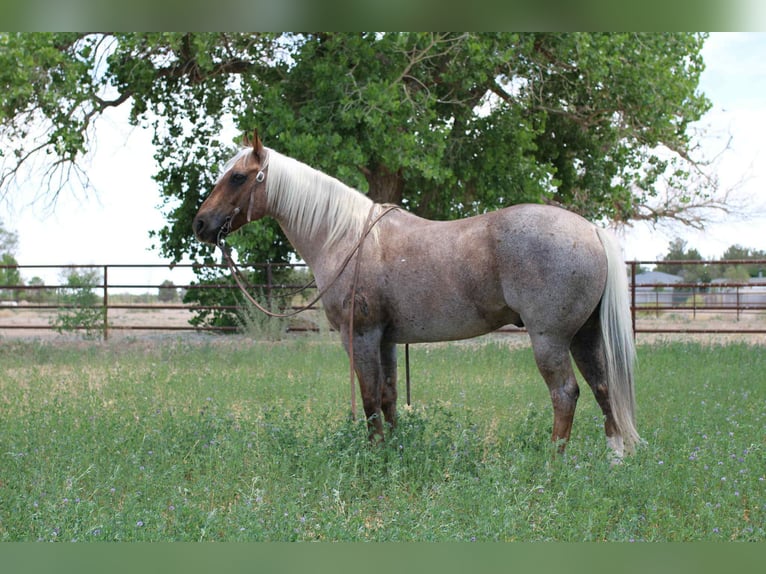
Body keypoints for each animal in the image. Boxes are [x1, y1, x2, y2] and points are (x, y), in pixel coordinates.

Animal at [193, 132, 640, 460]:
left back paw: (552, 462)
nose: (200, 224)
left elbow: (369, 399)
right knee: (603, 388)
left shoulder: (360, 336)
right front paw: (395, 451)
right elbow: (388, 397)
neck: (344, 236)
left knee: (565, 394)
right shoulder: (387, 339)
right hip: (584, 336)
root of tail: (590, 230)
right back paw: (614, 459)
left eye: (238, 177)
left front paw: (375, 458)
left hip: (550, 339)